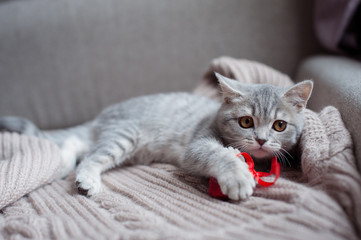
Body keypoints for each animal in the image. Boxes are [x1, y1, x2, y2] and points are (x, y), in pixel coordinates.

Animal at [0, 73, 312, 201]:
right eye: (246, 122)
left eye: (279, 125)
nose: (260, 140)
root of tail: (101, 116)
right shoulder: (196, 146)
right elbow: (219, 154)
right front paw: (237, 176)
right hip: (125, 135)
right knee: (89, 156)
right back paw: (85, 179)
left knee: (77, 144)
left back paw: (63, 161)